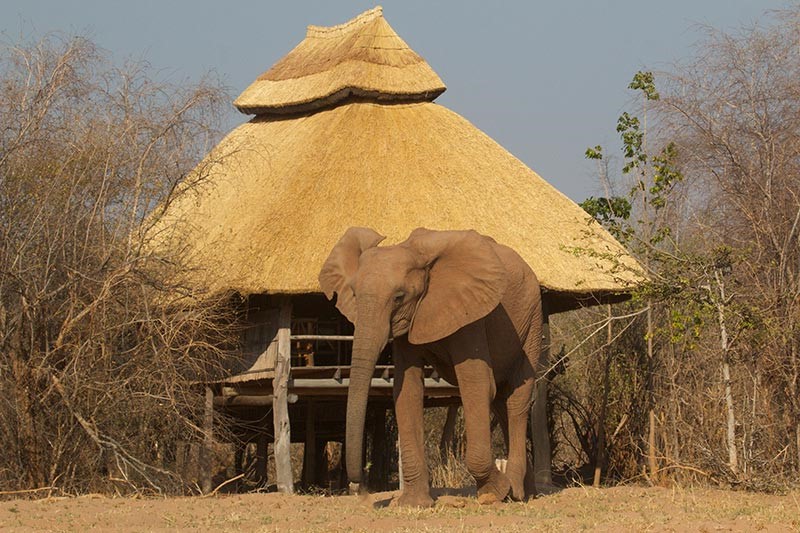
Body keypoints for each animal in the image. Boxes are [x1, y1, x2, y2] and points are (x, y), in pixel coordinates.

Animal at [318, 225, 544, 508]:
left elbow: (477, 384)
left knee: (516, 400)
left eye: (399, 297)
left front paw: (493, 492)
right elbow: (407, 389)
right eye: (354, 295)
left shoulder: (471, 312)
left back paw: (515, 493)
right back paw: (527, 491)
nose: (360, 489)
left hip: (532, 320)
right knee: (501, 404)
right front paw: (413, 504)